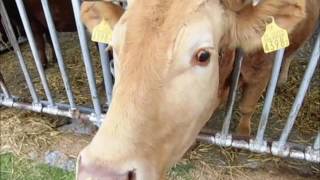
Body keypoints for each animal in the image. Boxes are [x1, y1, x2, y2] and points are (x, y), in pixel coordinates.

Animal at [78, 0, 320, 179]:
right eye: (112, 49)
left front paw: (242, 137)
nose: (100, 173)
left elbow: (247, 106)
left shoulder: (261, 71)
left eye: (203, 56)